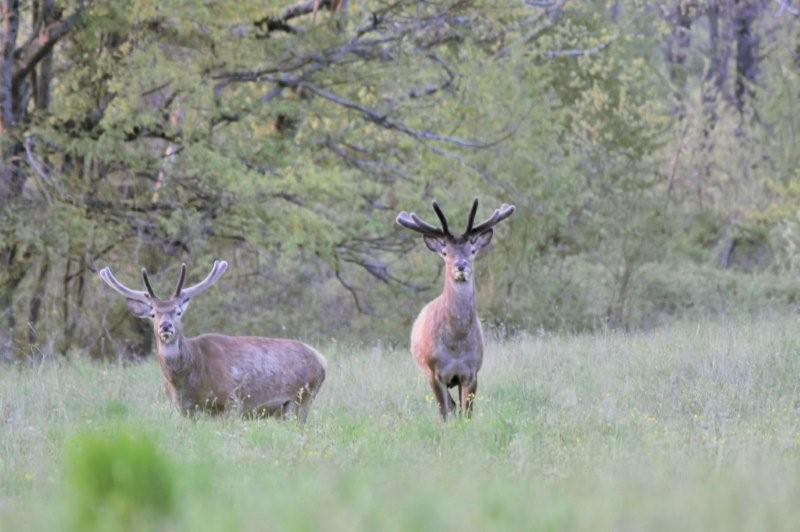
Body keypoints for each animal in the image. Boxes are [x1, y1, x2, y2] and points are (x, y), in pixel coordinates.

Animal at [97, 260, 328, 422]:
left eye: (178, 312)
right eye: (153, 314)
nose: (166, 326)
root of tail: (322, 360)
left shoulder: (232, 401)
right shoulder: (184, 409)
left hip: (302, 399)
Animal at [396, 200, 516, 420]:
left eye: (472, 250)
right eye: (445, 253)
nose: (461, 266)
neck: (456, 344)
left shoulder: (471, 372)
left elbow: (466, 413)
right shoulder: (434, 372)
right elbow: (444, 413)